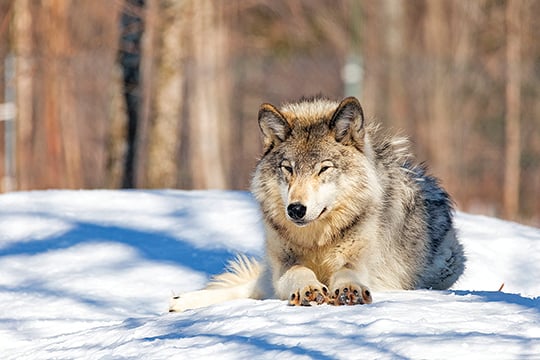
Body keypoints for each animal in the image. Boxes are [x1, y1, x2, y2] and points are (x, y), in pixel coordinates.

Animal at [171, 95, 466, 312]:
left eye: (323, 168)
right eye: (288, 168)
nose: (295, 209)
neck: (318, 240)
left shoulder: (359, 260)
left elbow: (348, 271)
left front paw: (349, 289)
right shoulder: (283, 265)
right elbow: (298, 271)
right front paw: (308, 289)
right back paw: (180, 301)